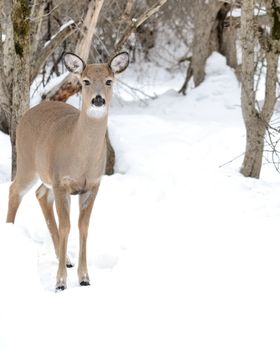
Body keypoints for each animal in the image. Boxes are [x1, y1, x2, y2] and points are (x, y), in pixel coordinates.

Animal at [6, 50, 129, 290]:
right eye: (86, 81)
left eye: (109, 81)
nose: (98, 99)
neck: (81, 157)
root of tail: (29, 112)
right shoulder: (62, 182)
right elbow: (66, 227)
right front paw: (60, 282)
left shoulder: (92, 185)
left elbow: (83, 227)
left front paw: (84, 277)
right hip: (27, 162)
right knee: (14, 190)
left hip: (45, 175)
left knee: (40, 195)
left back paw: (68, 260)